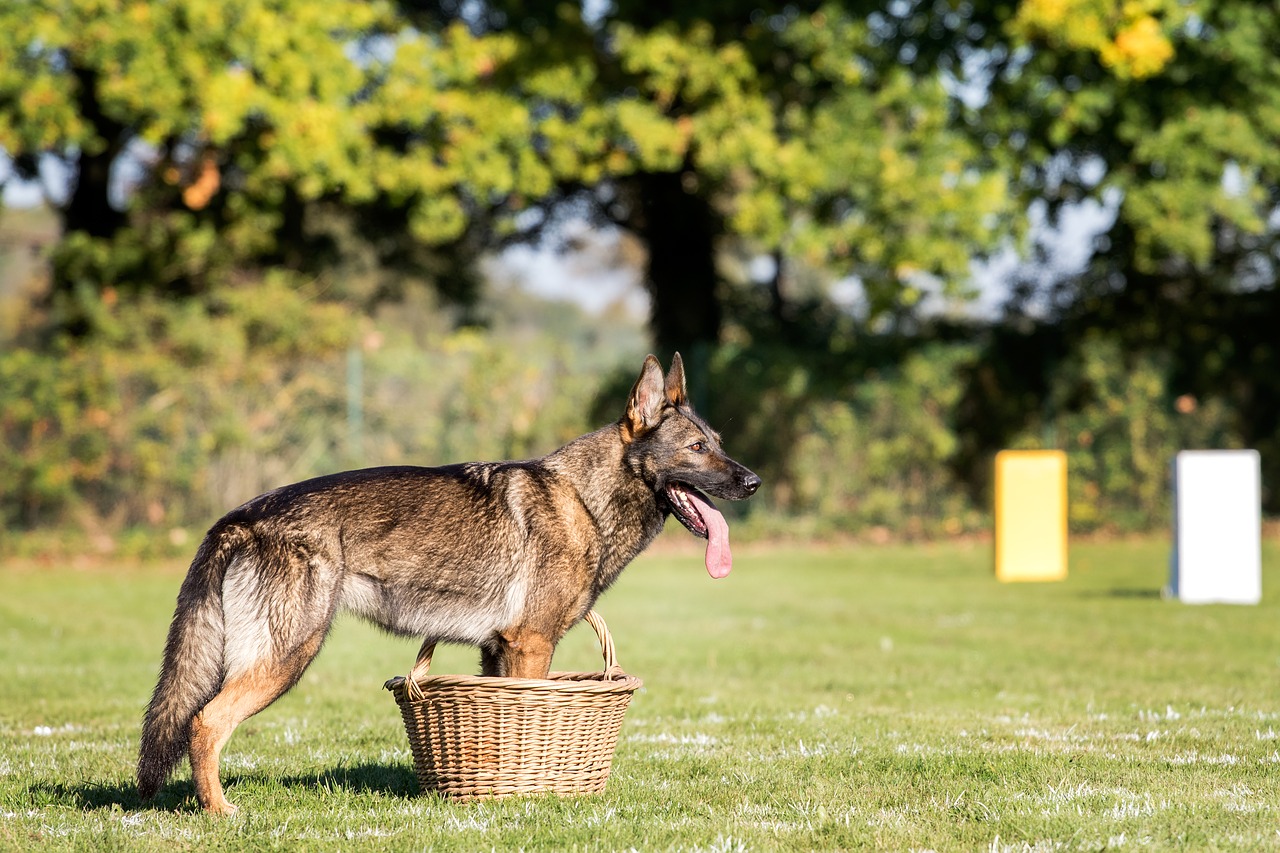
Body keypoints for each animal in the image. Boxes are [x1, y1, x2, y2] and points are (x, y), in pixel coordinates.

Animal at [137, 350, 757, 809]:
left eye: (719, 444)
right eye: (696, 449)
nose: (753, 482)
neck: (585, 500)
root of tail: (240, 516)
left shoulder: (498, 650)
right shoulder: (531, 646)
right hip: (287, 656)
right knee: (205, 722)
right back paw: (220, 812)